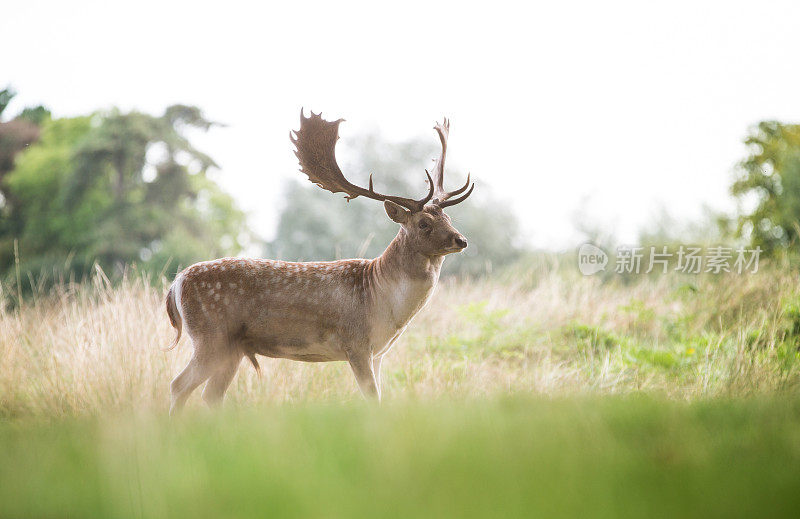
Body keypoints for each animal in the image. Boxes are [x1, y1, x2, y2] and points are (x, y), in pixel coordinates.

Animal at [165, 109, 472, 414]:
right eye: (423, 223)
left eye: (448, 218)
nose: (461, 240)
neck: (381, 297)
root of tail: (175, 285)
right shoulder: (356, 344)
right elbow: (372, 398)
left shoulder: (379, 353)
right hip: (211, 336)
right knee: (178, 385)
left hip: (232, 348)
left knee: (210, 395)